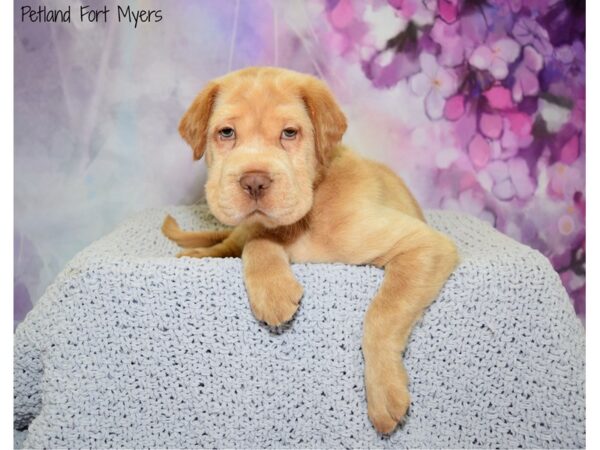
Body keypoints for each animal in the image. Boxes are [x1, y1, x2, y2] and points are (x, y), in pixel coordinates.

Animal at [162, 66, 458, 432]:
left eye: (289, 133)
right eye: (226, 132)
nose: (254, 182)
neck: (304, 220)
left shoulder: (423, 243)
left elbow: (385, 311)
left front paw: (384, 392)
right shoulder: (260, 228)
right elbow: (259, 242)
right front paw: (273, 292)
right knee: (231, 243)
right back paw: (197, 255)